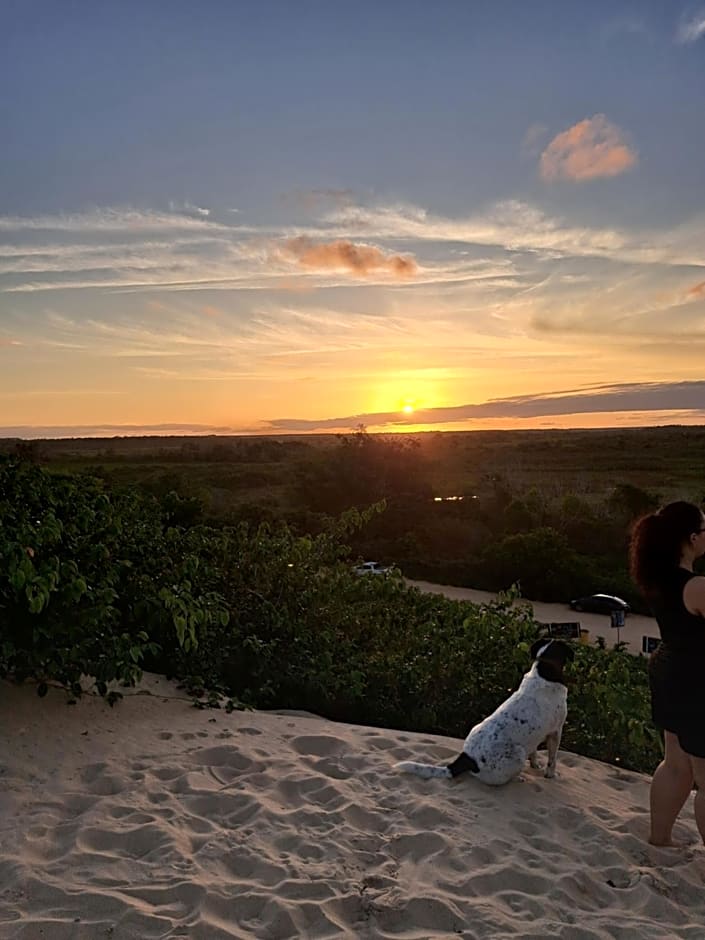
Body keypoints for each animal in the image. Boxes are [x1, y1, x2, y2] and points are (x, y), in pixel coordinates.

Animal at [394, 640, 576, 784]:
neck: (544, 670)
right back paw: (518, 778)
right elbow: (552, 759)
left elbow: (534, 752)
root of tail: (467, 758)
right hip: (517, 754)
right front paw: (550, 774)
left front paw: (535, 765)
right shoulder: (556, 731)